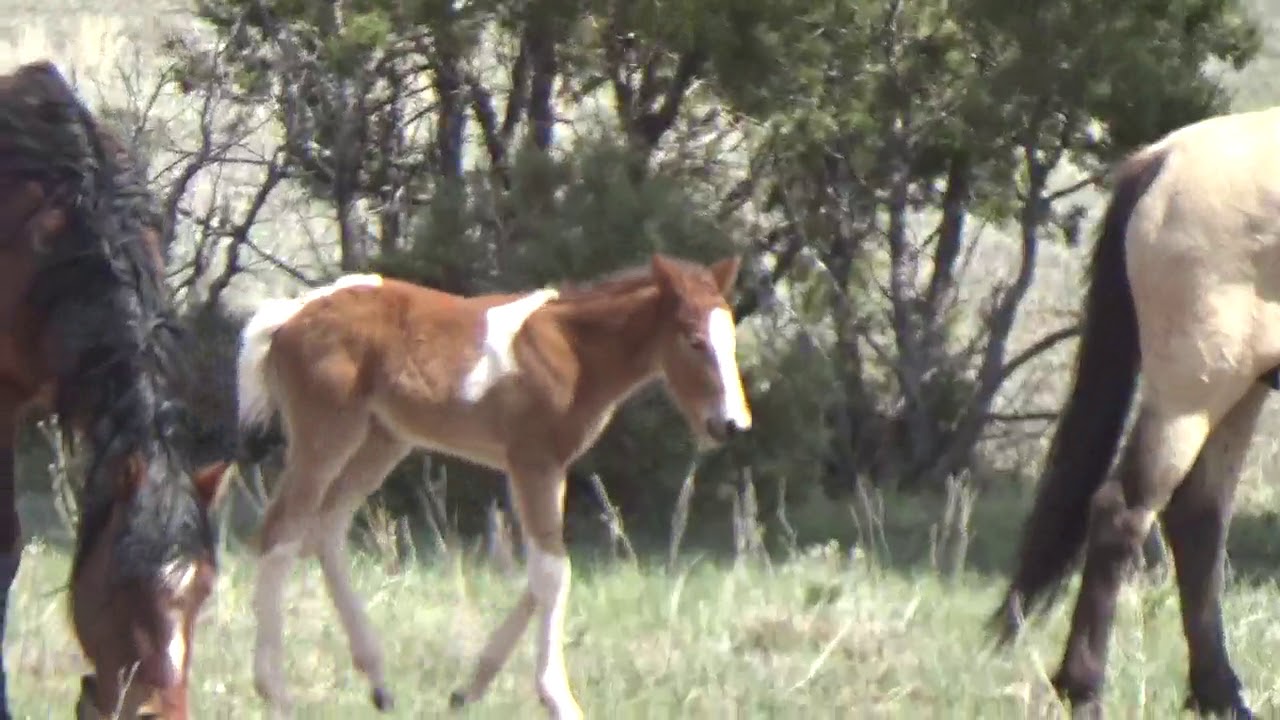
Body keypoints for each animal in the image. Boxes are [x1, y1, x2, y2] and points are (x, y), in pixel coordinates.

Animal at [234, 253, 753, 717]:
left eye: (730, 339)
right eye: (694, 341)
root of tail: (288, 316)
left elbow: (544, 573)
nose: (732, 425)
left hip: (382, 440)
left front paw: (469, 689)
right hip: (327, 436)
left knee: (325, 530)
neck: (575, 350)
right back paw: (275, 692)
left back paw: (378, 682)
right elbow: (553, 572)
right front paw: (559, 700)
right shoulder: (532, 463)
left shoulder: (550, 469)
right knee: (280, 531)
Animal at [990, 106, 1280, 718]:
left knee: (1198, 519)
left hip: (1238, 390)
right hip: (1194, 392)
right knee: (1123, 513)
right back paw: (1085, 690)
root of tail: (1166, 156)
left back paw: (1219, 695)